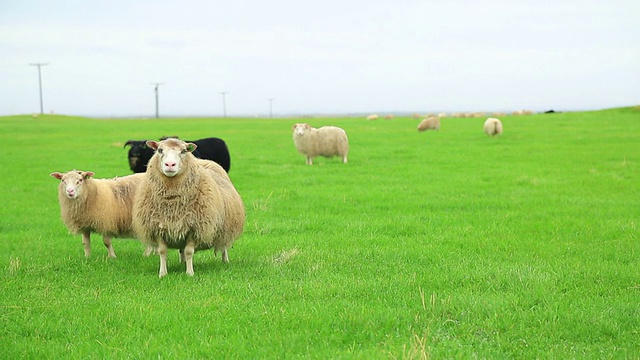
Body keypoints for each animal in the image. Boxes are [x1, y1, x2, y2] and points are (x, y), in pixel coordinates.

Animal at [132, 137, 245, 276]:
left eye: (184, 151)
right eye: (160, 150)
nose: (170, 165)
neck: (172, 203)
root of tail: (204, 161)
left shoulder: (194, 227)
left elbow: (189, 251)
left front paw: (190, 273)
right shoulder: (157, 227)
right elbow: (162, 251)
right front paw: (163, 273)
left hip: (225, 228)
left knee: (223, 246)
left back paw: (225, 261)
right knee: (181, 250)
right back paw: (182, 262)